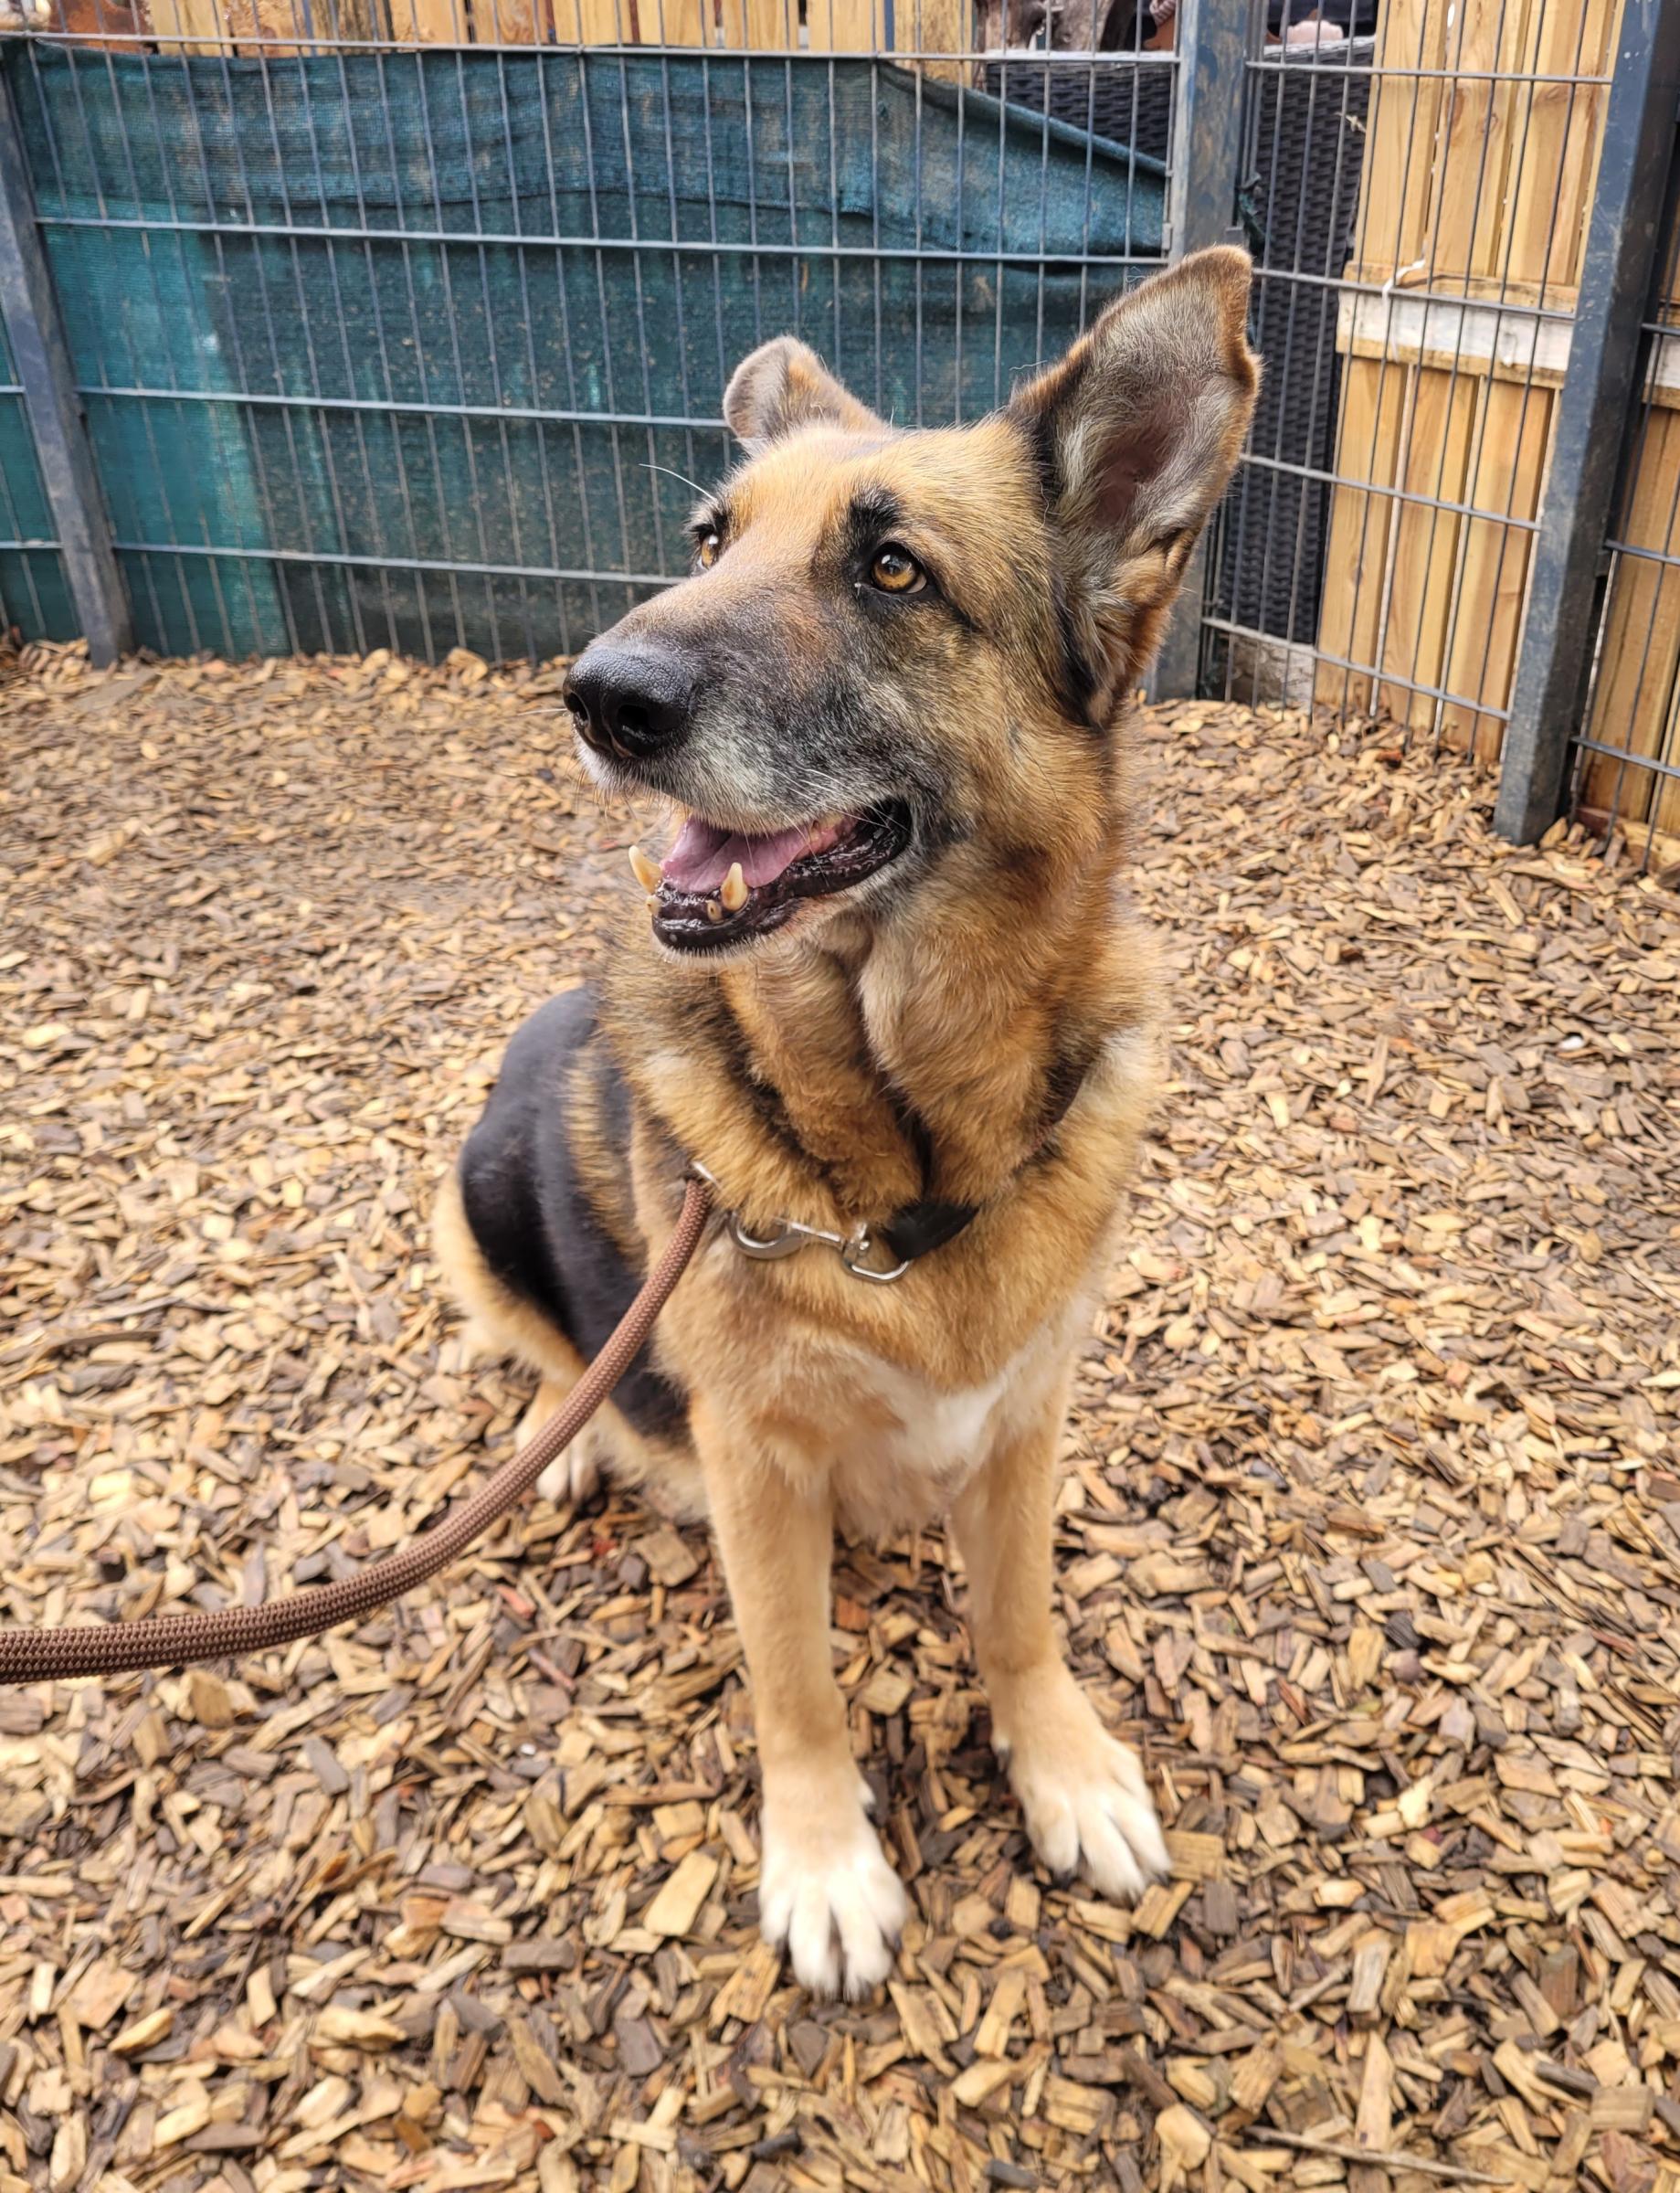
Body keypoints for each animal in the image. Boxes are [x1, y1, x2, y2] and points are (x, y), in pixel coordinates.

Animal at [435, 246, 1259, 1997]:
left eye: (890, 569)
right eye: (708, 541)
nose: (595, 697)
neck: (900, 1168)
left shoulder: (1021, 1426)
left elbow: (1017, 1620)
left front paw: (1057, 1763)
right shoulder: (759, 1473)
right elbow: (794, 1683)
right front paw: (821, 1860)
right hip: (467, 1196)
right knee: (532, 1350)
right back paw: (565, 1441)